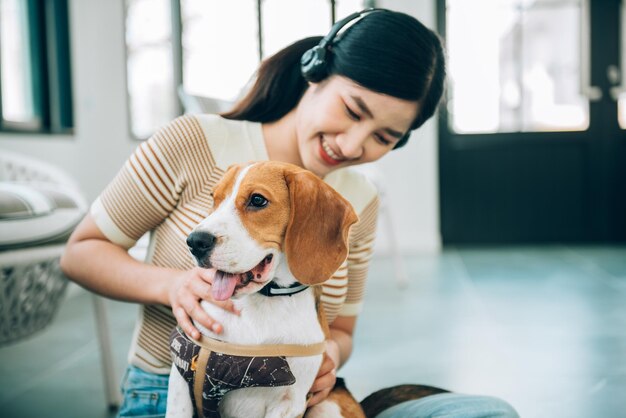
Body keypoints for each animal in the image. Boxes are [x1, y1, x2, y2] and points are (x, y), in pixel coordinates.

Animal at [166, 161, 364, 418]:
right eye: (214, 197)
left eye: (258, 200)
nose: (195, 242)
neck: (263, 302)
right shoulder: (181, 375)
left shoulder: (289, 403)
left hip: (329, 406)